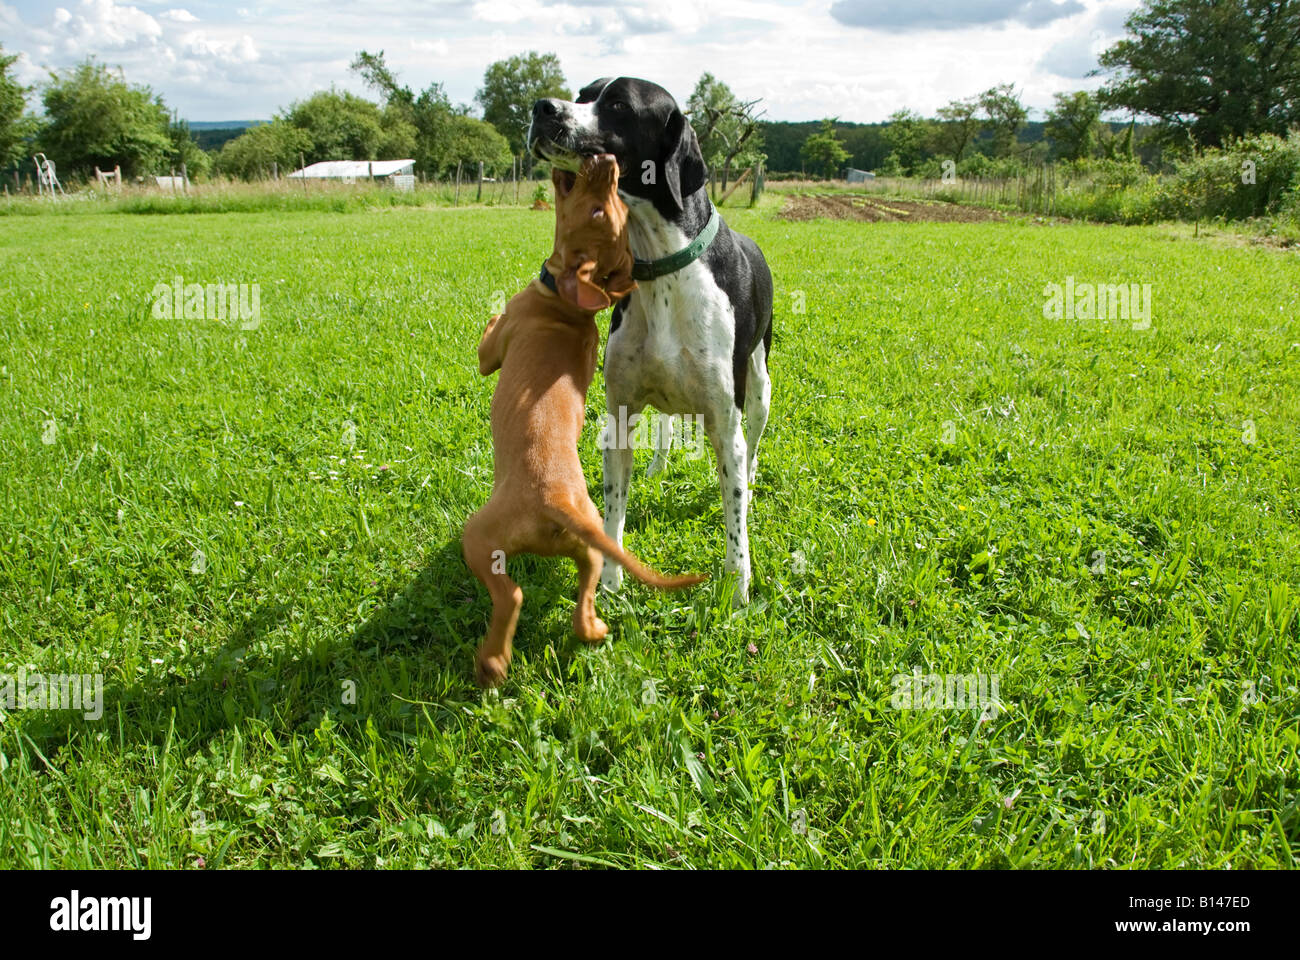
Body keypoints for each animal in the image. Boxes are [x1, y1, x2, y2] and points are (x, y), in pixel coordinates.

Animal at [467, 153, 707, 686]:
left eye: (601, 210)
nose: (608, 160)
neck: (568, 306)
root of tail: (557, 503)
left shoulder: (492, 353)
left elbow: (488, 342)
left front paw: (489, 314)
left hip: (479, 536)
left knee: (511, 595)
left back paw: (493, 663)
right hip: (590, 548)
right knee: (586, 592)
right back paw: (595, 629)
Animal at [527, 74, 769, 600]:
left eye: (618, 104)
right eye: (582, 94)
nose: (542, 107)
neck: (663, 268)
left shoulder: (727, 423)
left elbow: (734, 519)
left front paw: (738, 590)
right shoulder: (619, 418)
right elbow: (613, 508)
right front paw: (610, 581)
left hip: (760, 389)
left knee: (754, 447)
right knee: (665, 426)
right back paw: (658, 466)